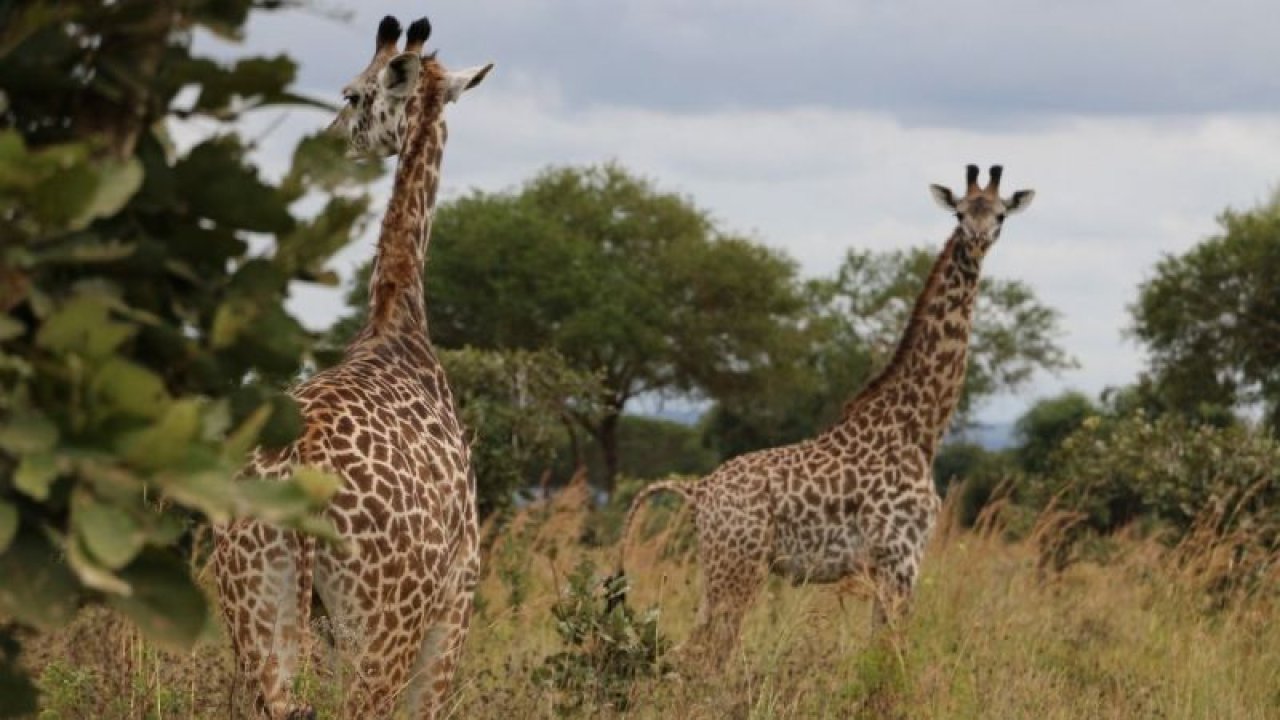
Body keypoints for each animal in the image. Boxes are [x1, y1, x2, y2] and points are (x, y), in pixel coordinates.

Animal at [212, 16, 491, 717]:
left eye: (352, 95)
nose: (331, 141)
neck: (399, 323)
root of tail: (301, 469)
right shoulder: (458, 599)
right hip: (383, 624)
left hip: (255, 604)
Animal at [614, 165, 1034, 666]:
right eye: (959, 213)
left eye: (1001, 215)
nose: (977, 239)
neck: (920, 429)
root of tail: (698, 491)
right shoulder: (901, 559)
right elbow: (893, 657)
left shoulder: (888, 565)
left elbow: (881, 651)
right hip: (737, 569)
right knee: (702, 657)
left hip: (720, 571)